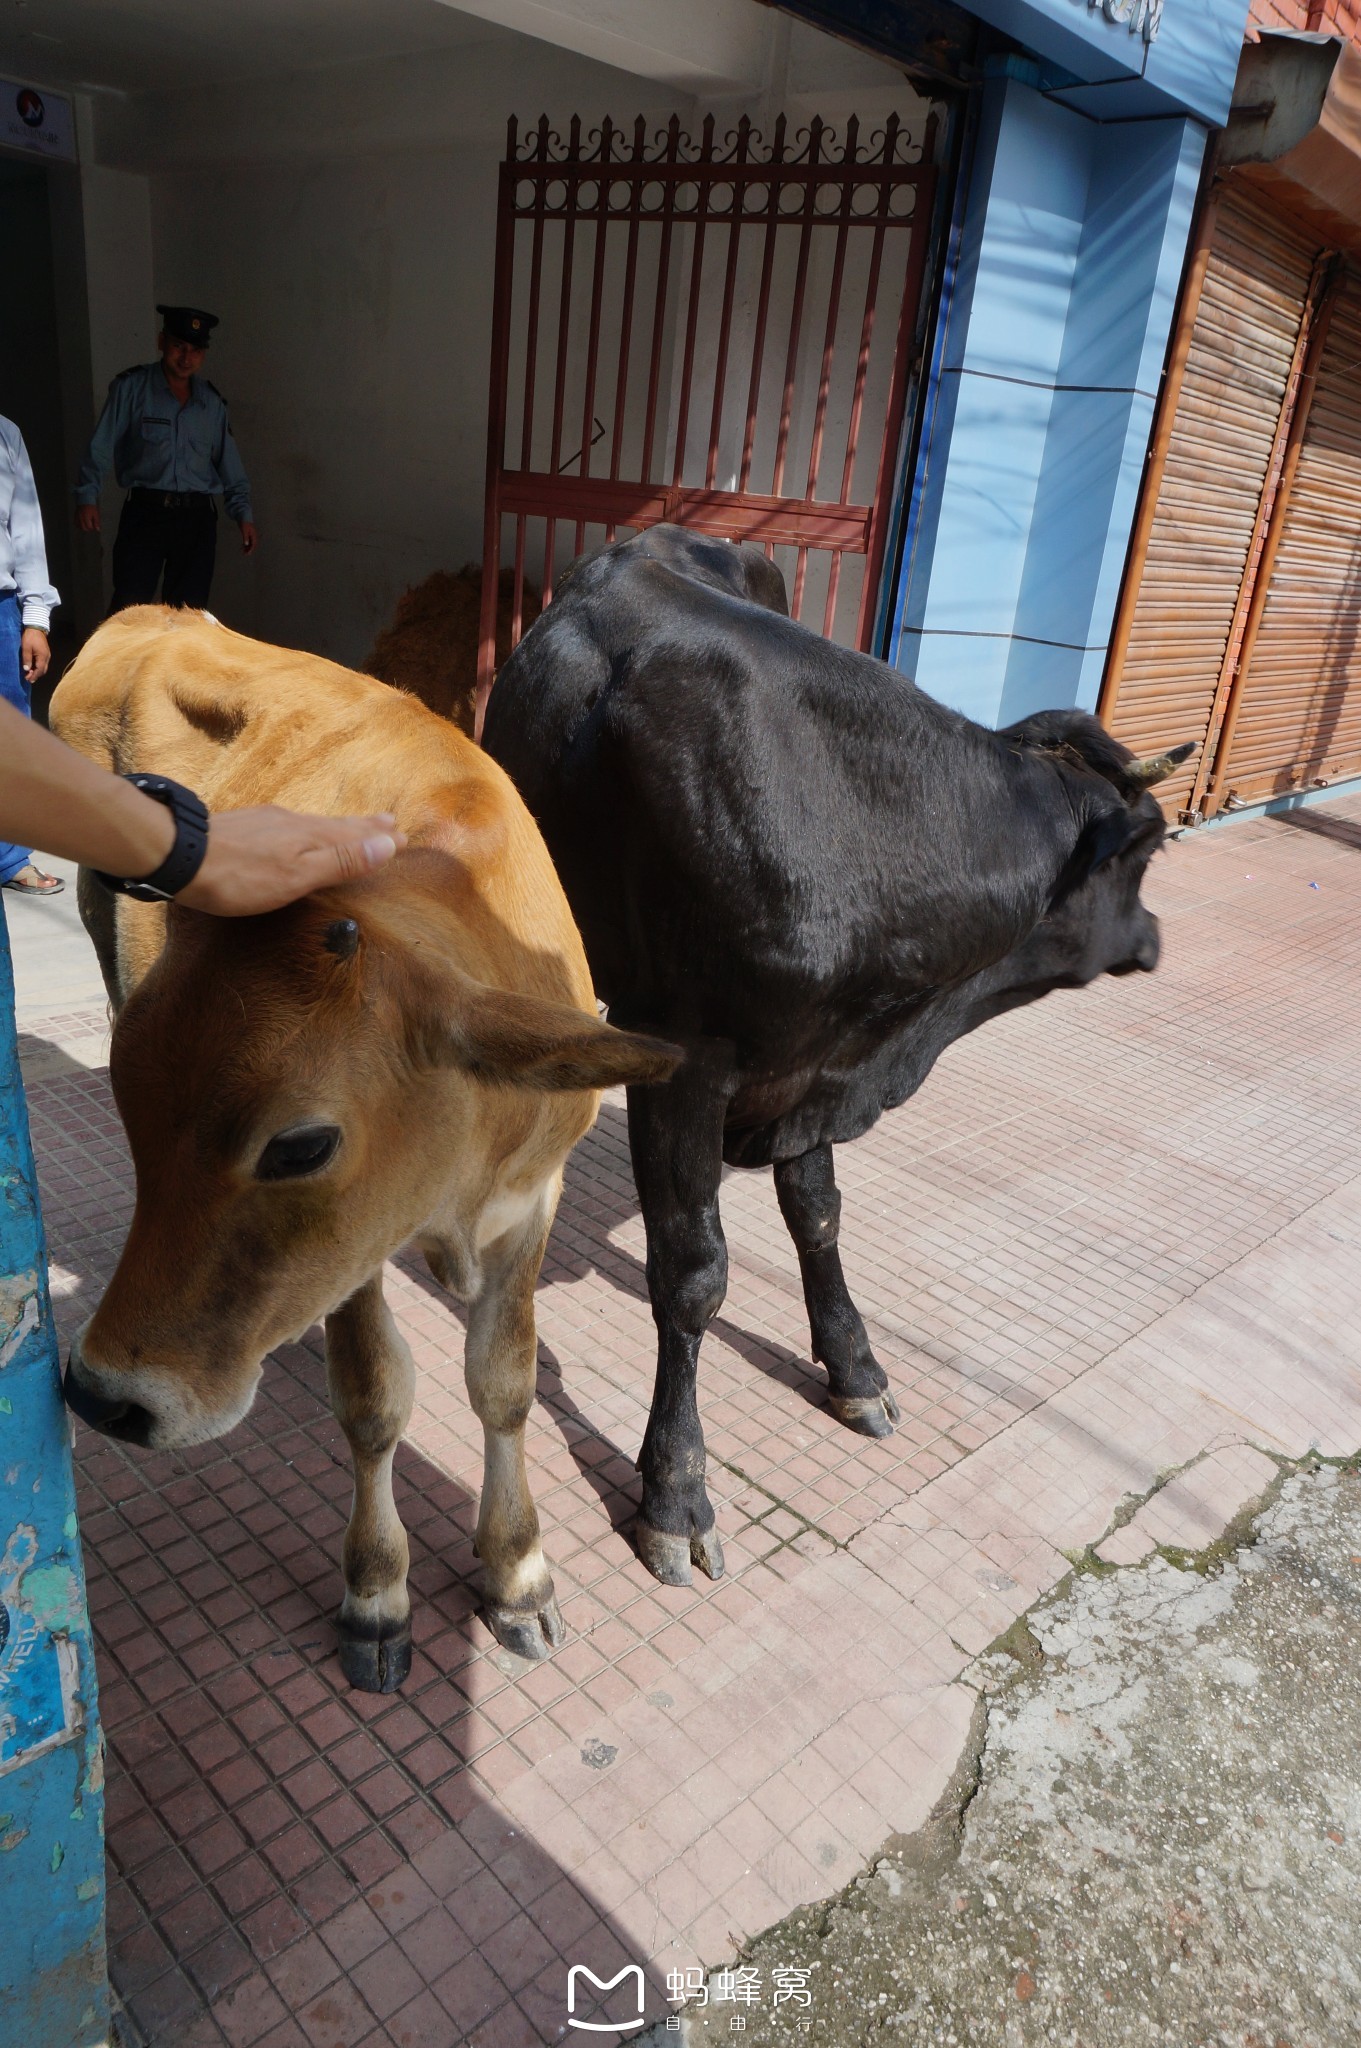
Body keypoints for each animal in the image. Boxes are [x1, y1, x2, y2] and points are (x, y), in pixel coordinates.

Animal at [483, 524, 1187, 1581]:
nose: (1153, 940)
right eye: (1147, 848)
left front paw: (853, 1367)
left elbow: (816, 1211)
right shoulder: (688, 1051)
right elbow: (691, 1273)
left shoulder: (819, 1060)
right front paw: (675, 1491)